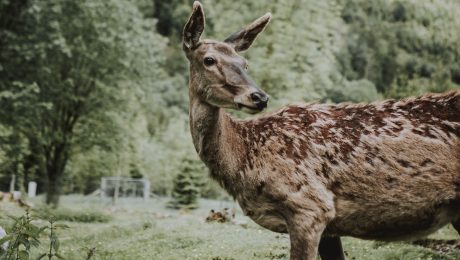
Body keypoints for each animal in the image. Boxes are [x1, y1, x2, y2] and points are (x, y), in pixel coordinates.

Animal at [181, 1, 460, 258]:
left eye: (244, 62)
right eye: (209, 60)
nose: (259, 97)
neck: (244, 158)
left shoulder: (310, 206)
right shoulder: (330, 225)